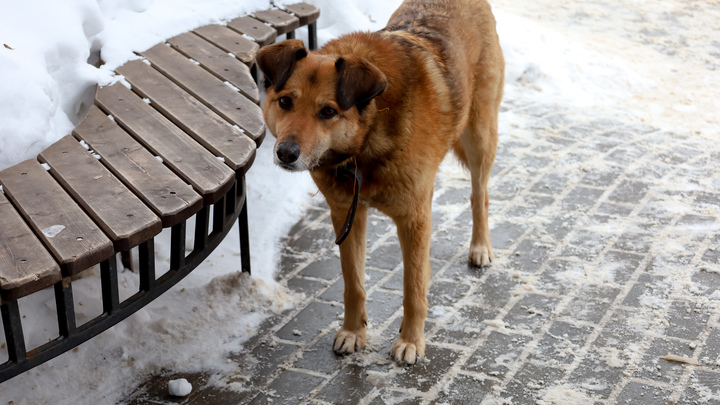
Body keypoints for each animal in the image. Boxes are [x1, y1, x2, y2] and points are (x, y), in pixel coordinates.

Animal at [256, 0, 504, 362]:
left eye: (328, 112)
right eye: (285, 102)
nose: (285, 153)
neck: (366, 139)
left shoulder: (414, 220)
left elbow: (413, 287)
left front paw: (411, 341)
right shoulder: (346, 214)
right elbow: (353, 283)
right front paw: (353, 331)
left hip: (479, 137)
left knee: (479, 195)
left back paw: (481, 247)